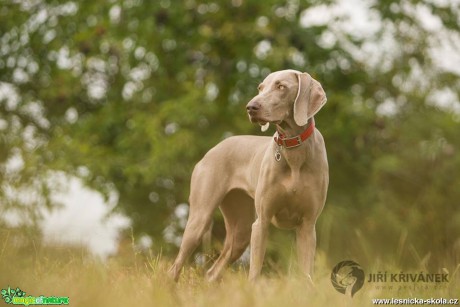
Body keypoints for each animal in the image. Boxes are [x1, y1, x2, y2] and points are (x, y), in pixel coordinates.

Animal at [168, 69, 328, 282]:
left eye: (281, 86)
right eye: (260, 87)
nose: (251, 107)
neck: (293, 150)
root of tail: (212, 150)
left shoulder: (308, 226)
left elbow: (306, 275)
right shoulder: (261, 222)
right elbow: (254, 273)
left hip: (240, 229)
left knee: (212, 272)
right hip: (200, 219)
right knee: (175, 267)